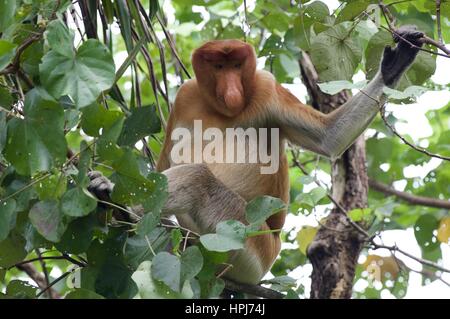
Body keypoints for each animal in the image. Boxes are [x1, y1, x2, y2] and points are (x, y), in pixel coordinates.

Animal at [89, 25, 424, 284]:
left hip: (244, 239)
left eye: (237, 66)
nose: (231, 89)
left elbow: (329, 138)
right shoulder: (185, 96)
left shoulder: (266, 88)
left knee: (199, 179)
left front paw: (394, 65)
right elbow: (161, 168)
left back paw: (117, 205)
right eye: (219, 67)